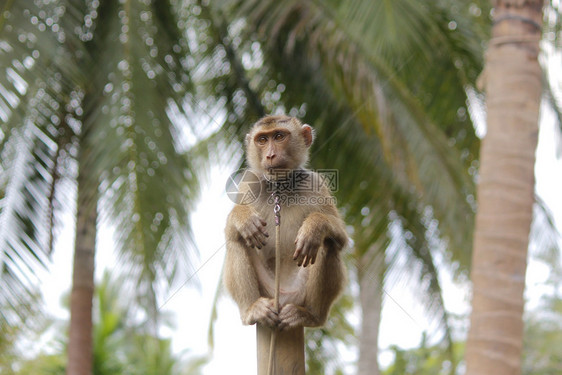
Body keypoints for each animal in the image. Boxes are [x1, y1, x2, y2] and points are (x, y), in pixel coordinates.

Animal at [222, 115, 346, 332]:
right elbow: (231, 229)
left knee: (329, 243)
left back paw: (311, 316)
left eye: (279, 136)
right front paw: (243, 217)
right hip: (267, 291)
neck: (280, 187)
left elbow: (341, 236)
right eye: (262, 140)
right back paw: (251, 310)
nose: (270, 155)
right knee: (236, 239)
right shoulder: (249, 182)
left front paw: (314, 228)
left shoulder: (316, 184)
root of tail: (282, 297)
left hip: (298, 293)